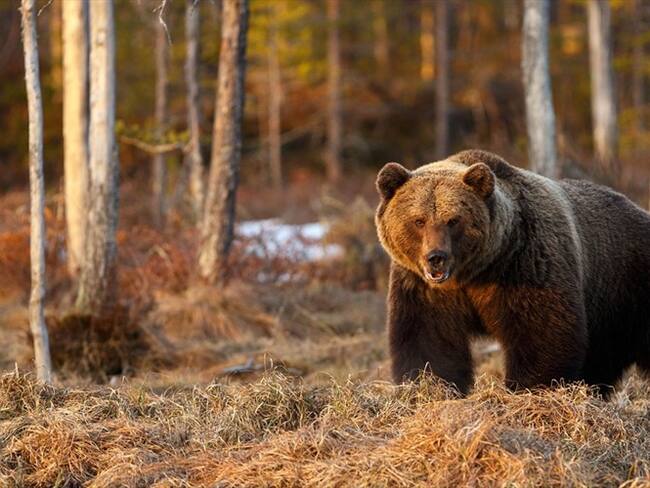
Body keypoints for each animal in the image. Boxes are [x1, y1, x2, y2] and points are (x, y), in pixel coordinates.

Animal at [375, 149, 650, 395]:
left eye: (453, 220)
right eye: (418, 221)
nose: (436, 258)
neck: (475, 271)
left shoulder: (526, 263)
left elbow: (540, 333)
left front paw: (529, 389)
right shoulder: (425, 289)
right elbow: (429, 340)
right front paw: (430, 387)